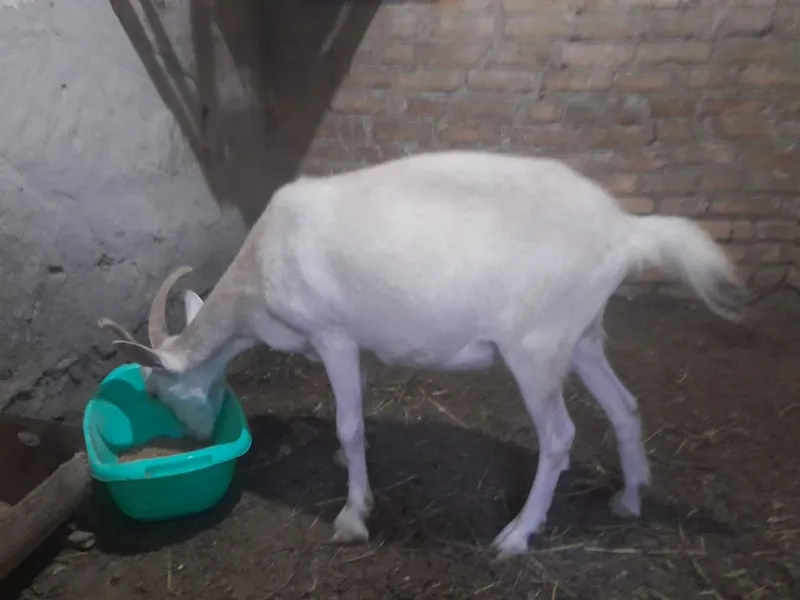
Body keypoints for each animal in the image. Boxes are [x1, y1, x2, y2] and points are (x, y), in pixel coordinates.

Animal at [99, 150, 744, 557]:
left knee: (560, 435)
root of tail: (626, 232)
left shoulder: (333, 334)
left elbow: (350, 423)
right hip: (581, 333)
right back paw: (629, 498)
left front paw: (353, 516)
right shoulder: (357, 342)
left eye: (157, 390)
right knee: (624, 406)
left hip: (535, 345)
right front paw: (345, 469)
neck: (260, 270)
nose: (197, 440)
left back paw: (516, 536)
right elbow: (355, 419)